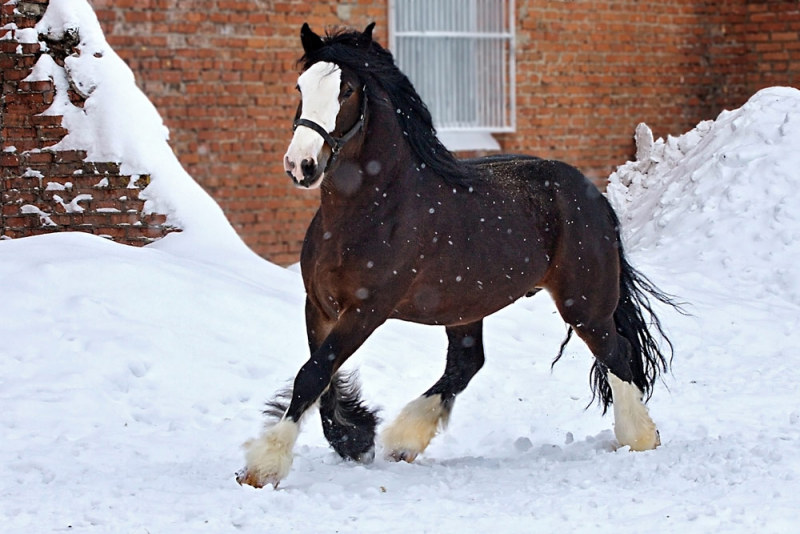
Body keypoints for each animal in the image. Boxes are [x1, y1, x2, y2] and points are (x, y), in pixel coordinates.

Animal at [236, 23, 676, 492]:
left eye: (347, 90)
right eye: (300, 86)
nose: (300, 165)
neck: (371, 209)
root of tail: (592, 194)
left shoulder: (366, 310)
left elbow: (314, 373)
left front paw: (262, 467)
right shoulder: (318, 305)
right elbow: (322, 376)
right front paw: (353, 439)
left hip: (584, 305)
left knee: (618, 354)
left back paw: (640, 438)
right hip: (466, 306)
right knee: (467, 363)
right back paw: (404, 440)